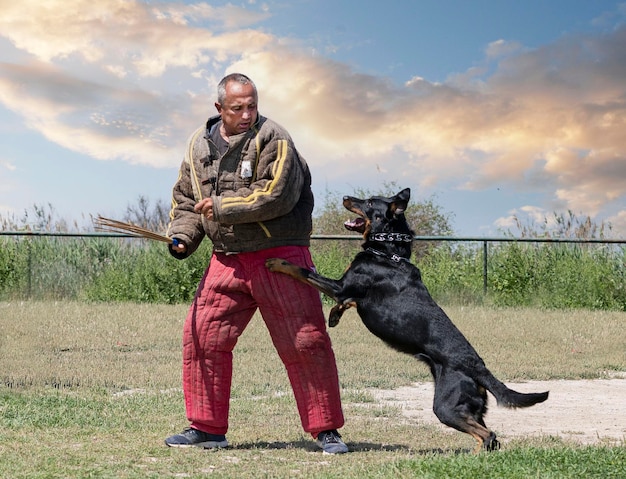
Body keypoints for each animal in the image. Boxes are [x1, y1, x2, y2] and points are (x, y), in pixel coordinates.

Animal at [264, 188, 544, 454]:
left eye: (368, 202)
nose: (345, 197)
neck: (387, 253)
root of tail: (479, 368)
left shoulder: (341, 286)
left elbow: (302, 271)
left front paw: (277, 262)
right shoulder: (347, 292)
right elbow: (344, 303)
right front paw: (334, 316)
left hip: (446, 406)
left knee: (488, 435)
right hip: (468, 406)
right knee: (491, 438)